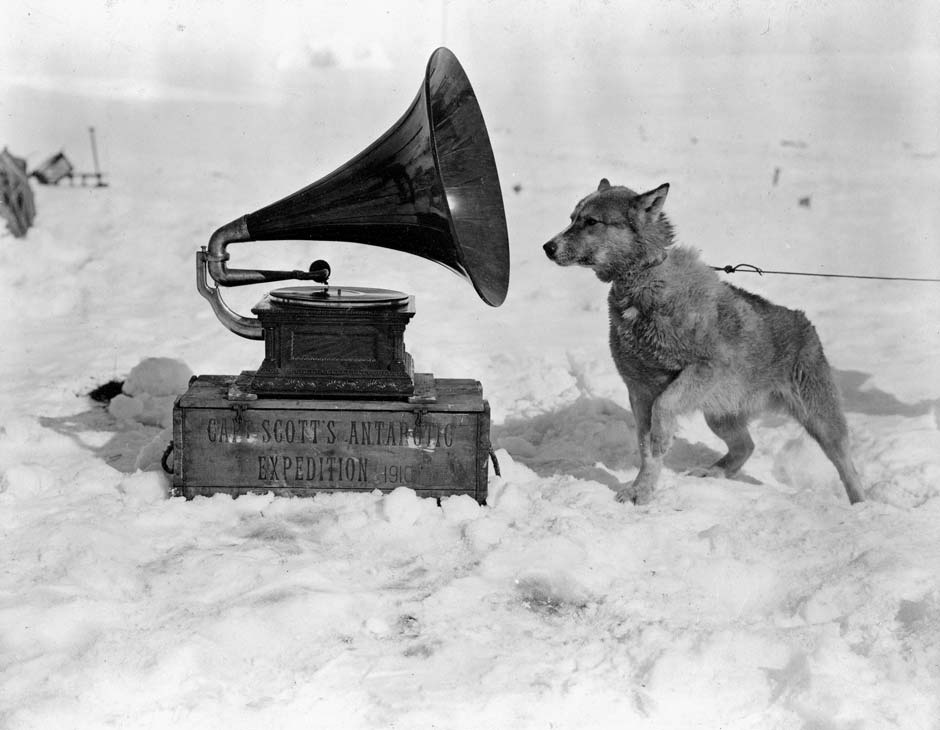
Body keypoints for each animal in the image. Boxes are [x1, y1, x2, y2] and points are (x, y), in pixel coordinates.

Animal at [540, 179, 864, 504]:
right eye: (572, 218)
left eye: (591, 221)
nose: (547, 247)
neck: (644, 282)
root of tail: (805, 323)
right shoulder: (640, 392)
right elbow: (646, 450)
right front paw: (641, 490)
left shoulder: (702, 370)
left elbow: (664, 410)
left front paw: (660, 445)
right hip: (719, 414)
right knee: (746, 446)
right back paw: (713, 472)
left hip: (821, 421)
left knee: (848, 467)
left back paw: (860, 504)